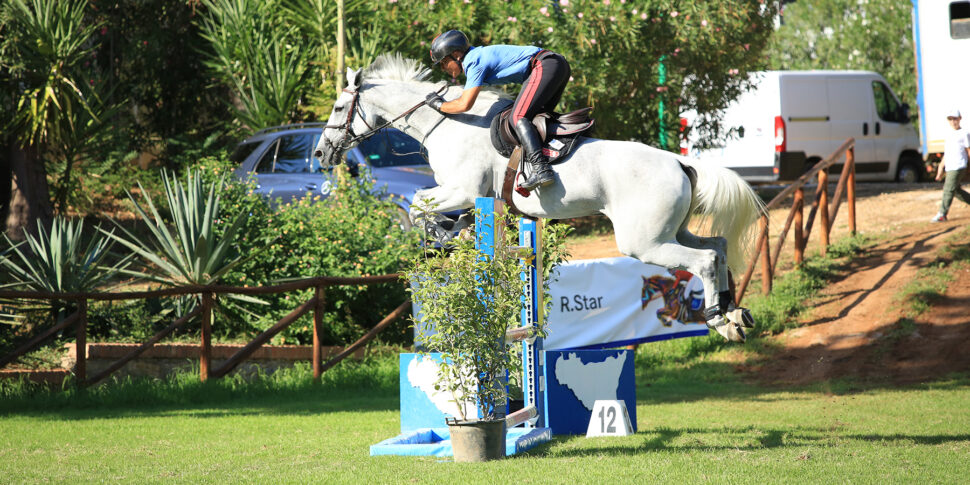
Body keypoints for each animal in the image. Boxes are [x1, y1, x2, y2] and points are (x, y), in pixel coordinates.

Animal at [316, 54, 764, 340]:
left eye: (338, 108)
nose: (320, 154)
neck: (445, 124)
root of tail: (678, 161)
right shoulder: (472, 195)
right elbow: (437, 211)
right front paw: (457, 233)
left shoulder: (461, 189)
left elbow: (416, 205)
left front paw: (441, 236)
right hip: (673, 231)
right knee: (717, 247)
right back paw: (732, 314)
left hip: (644, 241)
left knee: (702, 261)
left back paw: (717, 320)